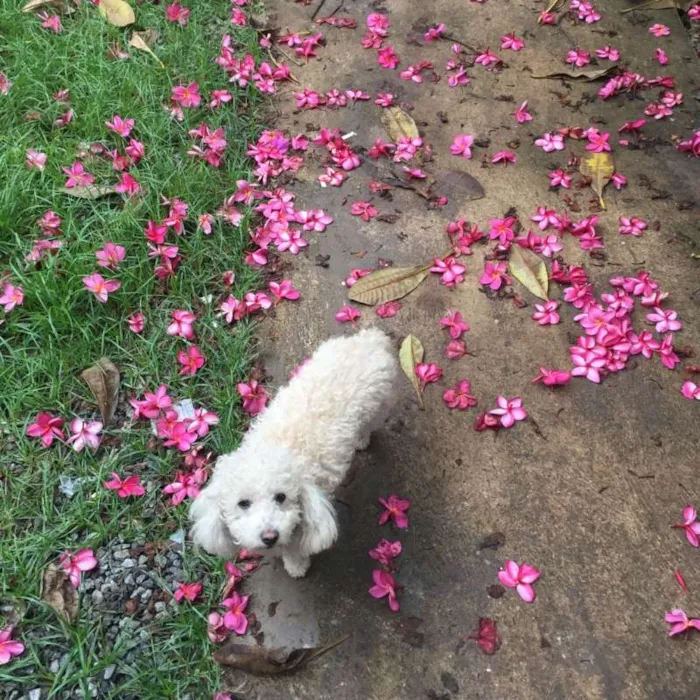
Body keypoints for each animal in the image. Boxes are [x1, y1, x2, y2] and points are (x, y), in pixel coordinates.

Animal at [190, 326, 400, 576]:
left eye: (281, 497)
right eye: (243, 503)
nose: (269, 536)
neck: (275, 446)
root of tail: (369, 339)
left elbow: (294, 549)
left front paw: (296, 566)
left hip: (380, 405)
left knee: (371, 424)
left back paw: (361, 439)